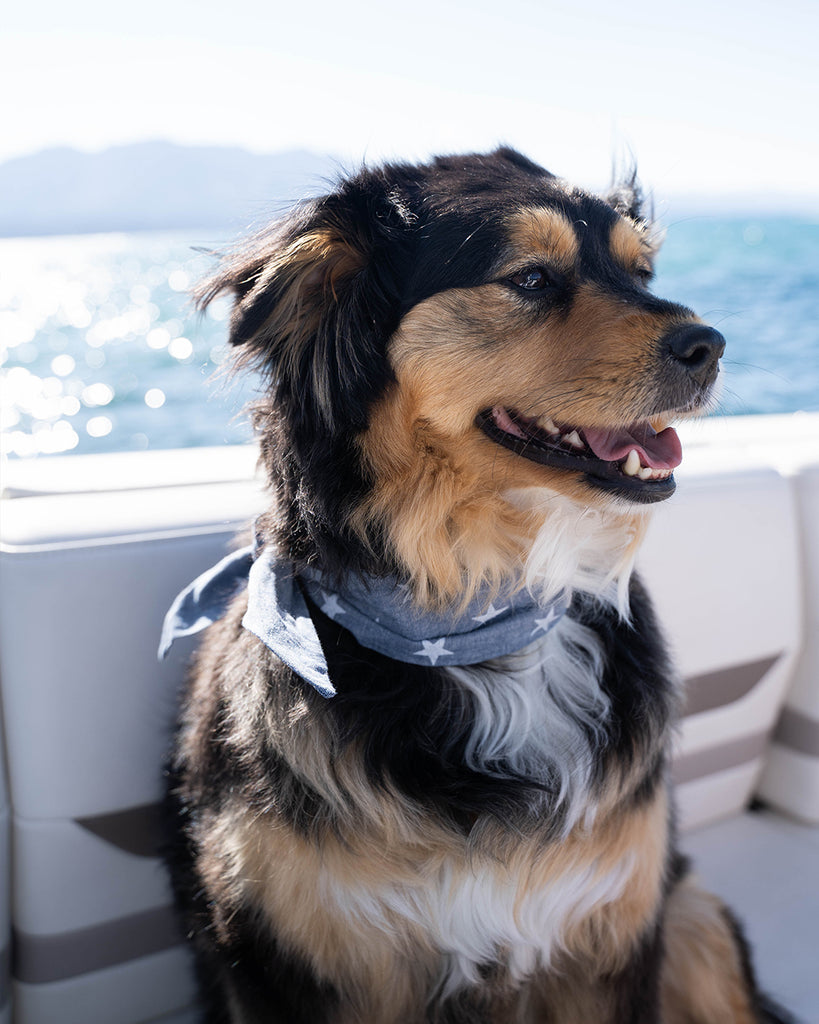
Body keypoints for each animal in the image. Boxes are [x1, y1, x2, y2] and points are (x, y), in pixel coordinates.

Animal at [161, 148, 794, 1019]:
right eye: (529, 278)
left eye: (640, 271)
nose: (711, 343)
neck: (477, 614)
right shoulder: (290, 960)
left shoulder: (611, 937)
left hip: (694, 920)